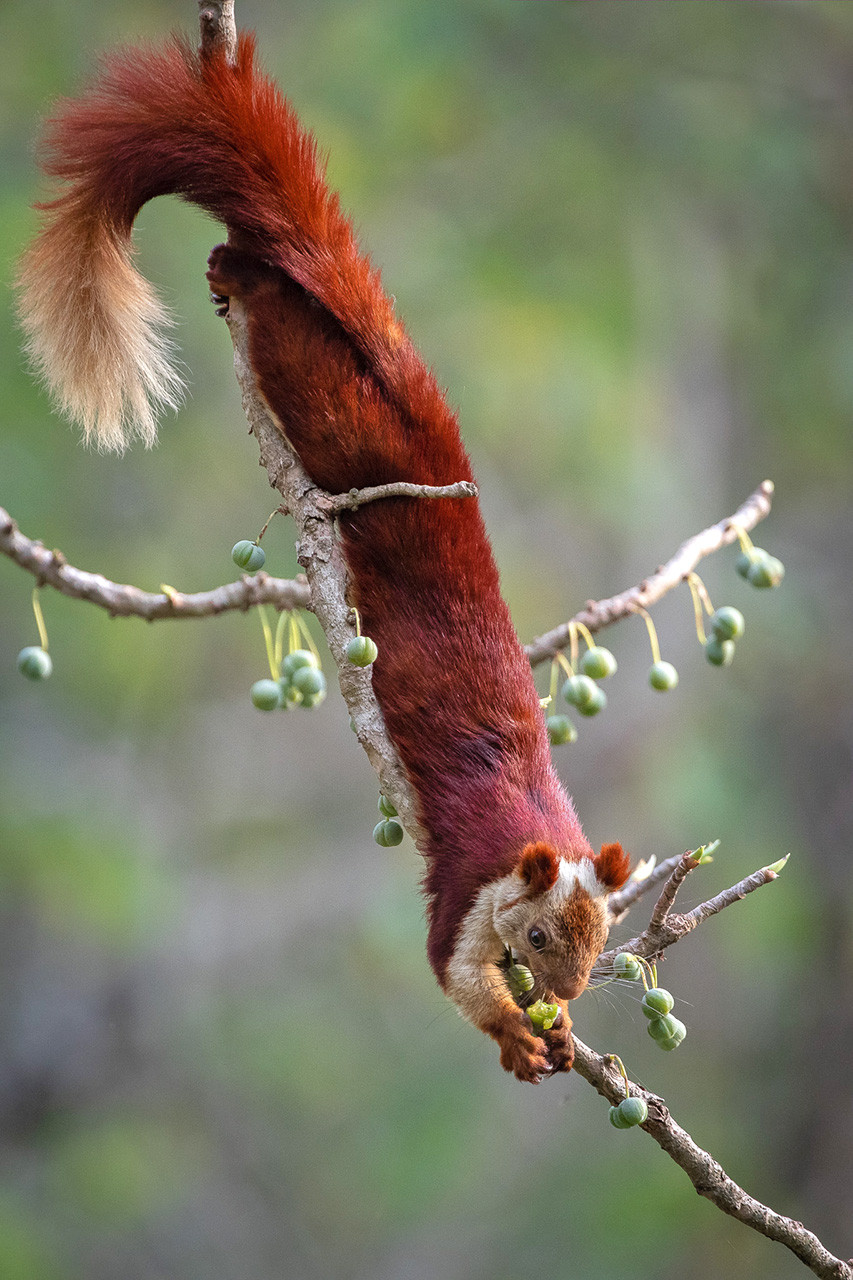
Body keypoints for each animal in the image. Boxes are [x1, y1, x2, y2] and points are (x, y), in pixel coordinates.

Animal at [17, 32, 630, 1083]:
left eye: (601, 942)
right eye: (542, 936)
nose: (569, 993)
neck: (537, 832)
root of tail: (425, 422)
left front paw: (557, 1032)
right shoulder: (470, 884)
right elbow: (448, 969)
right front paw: (513, 1033)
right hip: (338, 413)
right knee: (290, 332)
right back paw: (243, 270)